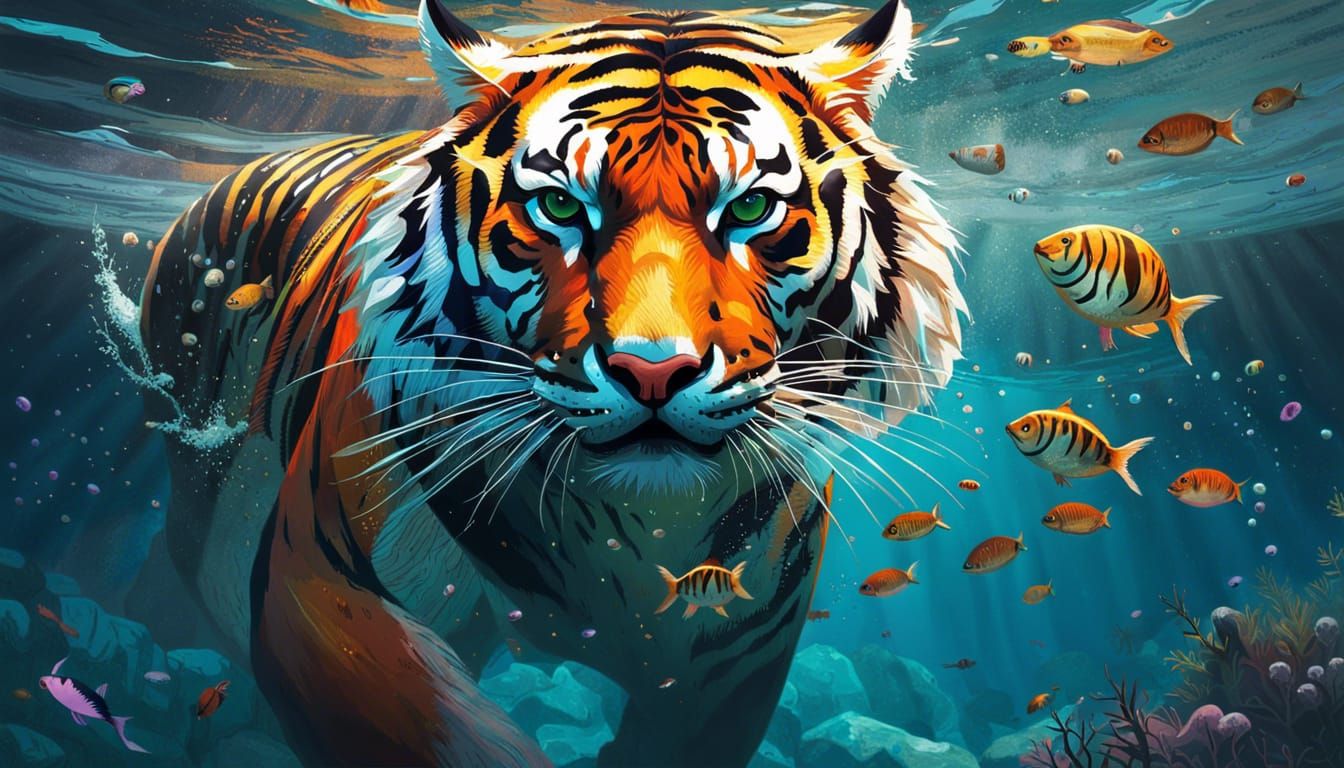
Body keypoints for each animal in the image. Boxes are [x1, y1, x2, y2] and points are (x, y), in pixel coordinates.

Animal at [134, 1, 965, 765]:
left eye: (751, 206)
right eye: (562, 204)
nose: (653, 371)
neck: (625, 534)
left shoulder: (731, 662)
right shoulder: (318, 585)